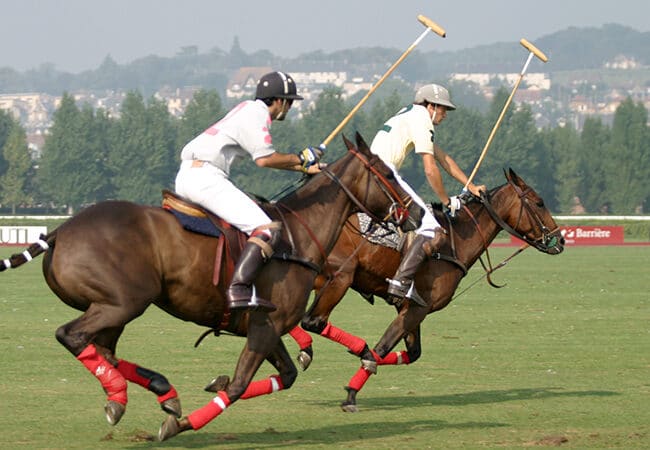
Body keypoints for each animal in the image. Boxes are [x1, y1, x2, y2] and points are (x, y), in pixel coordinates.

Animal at [0, 133, 422, 440]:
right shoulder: (268, 326)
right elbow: (237, 386)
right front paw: (181, 424)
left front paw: (203, 390)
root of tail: (59, 231)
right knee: (71, 336)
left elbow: (283, 376)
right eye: (387, 173)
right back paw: (131, 396)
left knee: (102, 349)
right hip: (122, 303)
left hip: (114, 308)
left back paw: (156, 392)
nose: (418, 212)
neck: (299, 234)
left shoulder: (265, 325)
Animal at [288, 169, 560, 412]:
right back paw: (350, 348)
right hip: (339, 279)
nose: (560, 241)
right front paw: (352, 392)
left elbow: (412, 352)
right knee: (312, 320)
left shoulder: (410, 307)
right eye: (539, 202)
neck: (456, 240)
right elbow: (382, 348)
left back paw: (307, 350)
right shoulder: (418, 308)